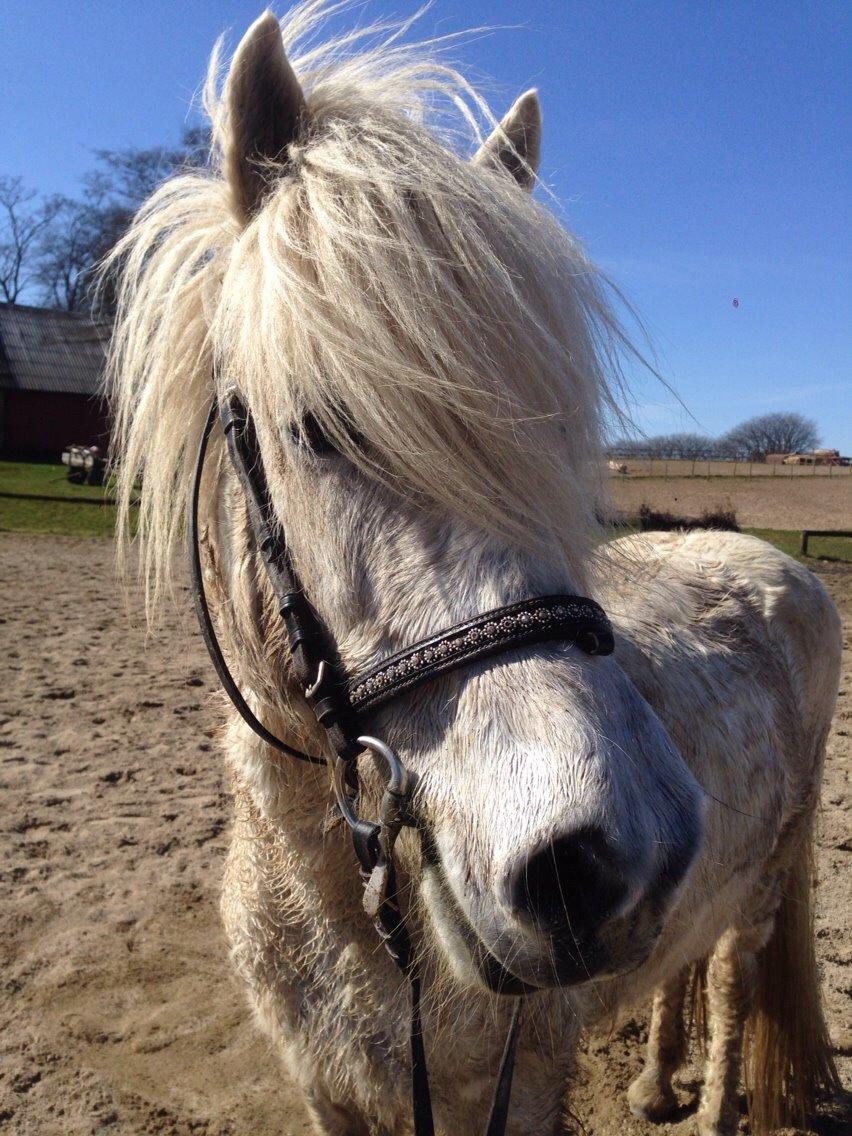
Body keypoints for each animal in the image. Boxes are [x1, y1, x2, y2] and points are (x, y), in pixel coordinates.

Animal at [105, 4, 840, 1131]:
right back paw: (652, 1078)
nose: (604, 860)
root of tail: (765, 560)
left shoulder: (517, 1091)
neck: (351, 917)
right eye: (318, 426)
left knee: (726, 979)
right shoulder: (326, 1092)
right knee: (679, 964)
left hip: (759, 883)